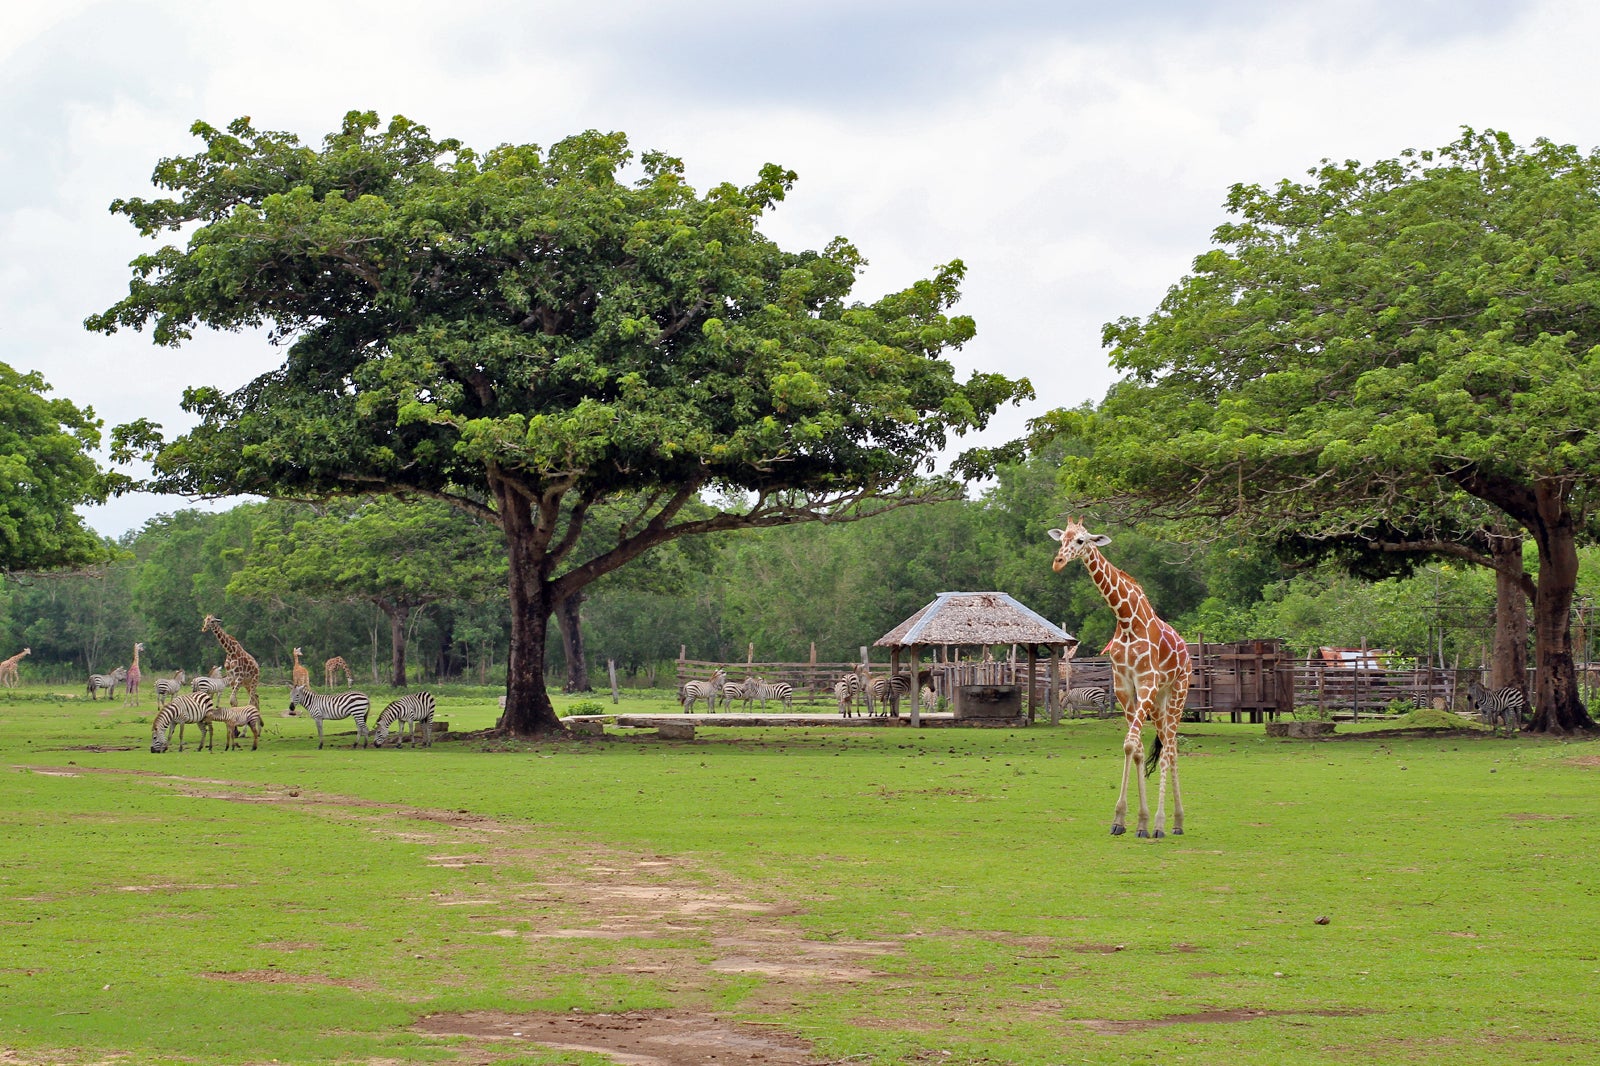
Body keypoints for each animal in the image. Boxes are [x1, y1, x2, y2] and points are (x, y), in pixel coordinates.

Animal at [1049, 518, 1190, 832]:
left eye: (1081, 540)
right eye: (1061, 539)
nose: (1058, 562)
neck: (1126, 619)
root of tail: (1186, 650)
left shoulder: (1146, 682)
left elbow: (1131, 743)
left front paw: (1149, 823)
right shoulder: (1124, 685)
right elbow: (1133, 747)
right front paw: (1129, 821)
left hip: (1178, 690)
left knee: (1170, 747)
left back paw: (1169, 823)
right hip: (1159, 700)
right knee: (1168, 744)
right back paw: (1173, 822)